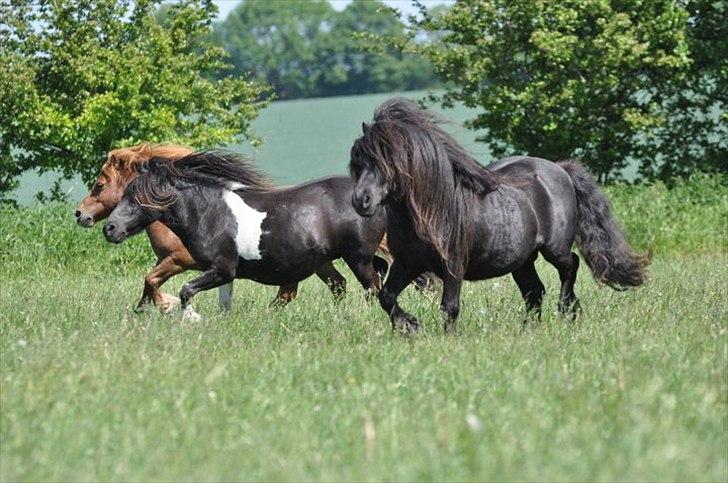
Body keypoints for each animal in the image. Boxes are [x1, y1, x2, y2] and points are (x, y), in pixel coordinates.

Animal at [75, 142, 354, 312]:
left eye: (99, 185)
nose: (79, 214)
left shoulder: (178, 261)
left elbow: (151, 280)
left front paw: (167, 305)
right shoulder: (167, 260)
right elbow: (147, 286)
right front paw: (145, 312)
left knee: (294, 291)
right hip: (319, 262)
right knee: (337, 285)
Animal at [350, 98, 652, 332]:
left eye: (386, 162)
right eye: (358, 162)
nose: (360, 200)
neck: (430, 210)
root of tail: (560, 170)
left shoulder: (453, 266)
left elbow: (449, 307)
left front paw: (447, 339)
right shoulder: (406, 264)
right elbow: (386, 296)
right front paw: (410, 326)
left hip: (554, 249)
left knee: (570, 266)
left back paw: (568, 310)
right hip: (522, 260)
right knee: (534, 292)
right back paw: (529, 329)